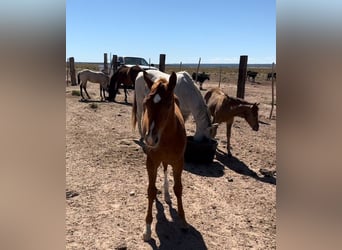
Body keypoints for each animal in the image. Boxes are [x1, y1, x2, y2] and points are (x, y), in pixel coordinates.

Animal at [138, 71, 188, 241]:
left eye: (168, 104)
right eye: (146, 103)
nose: (150, 139)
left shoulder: (179, 162)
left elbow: (178, 189)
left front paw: (183, 220)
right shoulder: (151, 161)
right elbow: (151, 190)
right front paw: (147, 229)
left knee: (166, 171)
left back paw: (166, 195)